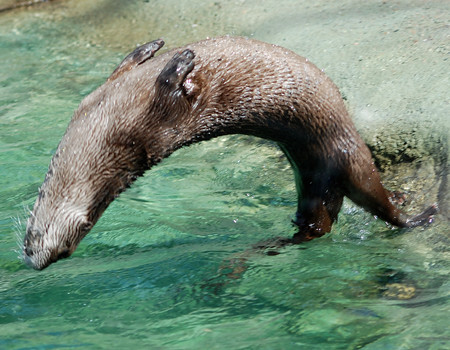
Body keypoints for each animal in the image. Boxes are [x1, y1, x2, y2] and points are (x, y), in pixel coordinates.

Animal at [22, 36, 436, 270]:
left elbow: (133, 70)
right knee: (374, 200)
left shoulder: (121, 107)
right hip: (340, 161)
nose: (38, 261)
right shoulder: (141, 118)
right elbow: (155, 85)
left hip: (328, 164)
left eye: (35, 238)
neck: (108, 127)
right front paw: (176, 61)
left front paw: (159, 53)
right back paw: (418, 213)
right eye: (60, 247)